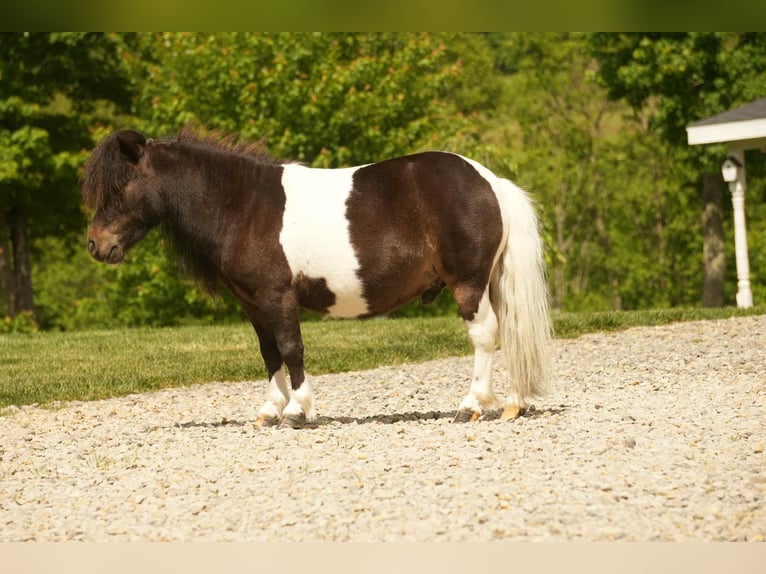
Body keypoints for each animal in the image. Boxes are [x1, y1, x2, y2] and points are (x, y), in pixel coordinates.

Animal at [82, 128, 553, 429]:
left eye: (119, 187)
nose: (96, 245)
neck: (242, 205)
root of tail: (490, 181)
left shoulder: (277, 296)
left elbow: (292, 349)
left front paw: (296, 411)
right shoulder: (253, 303)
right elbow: (270, 353)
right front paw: (270, 410)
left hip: (467, 283)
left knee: (484, 335)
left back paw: (469, 406)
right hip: (491, 281)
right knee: (510, 331)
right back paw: (512, 405)